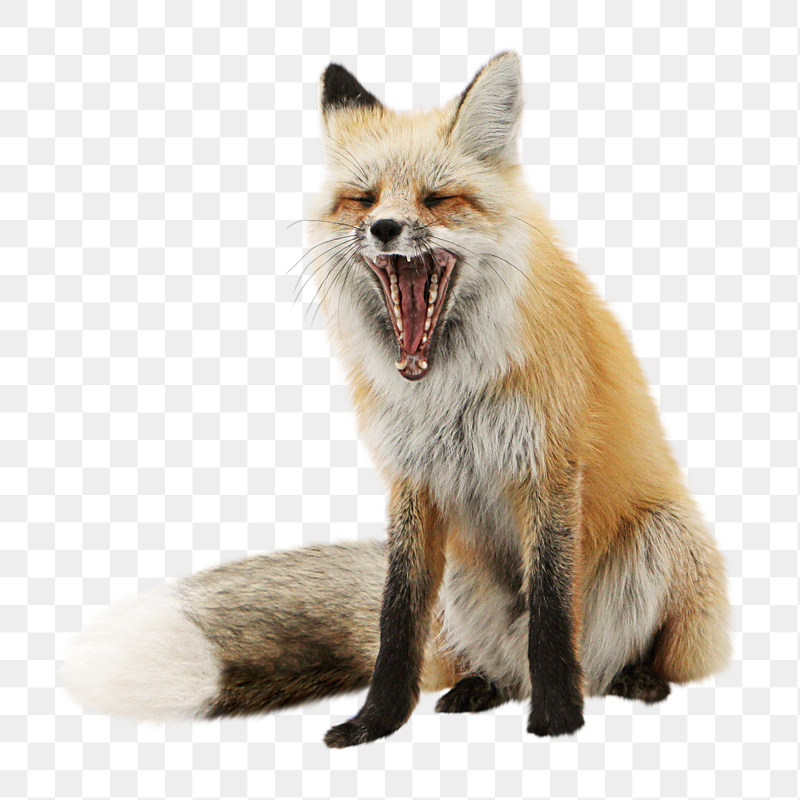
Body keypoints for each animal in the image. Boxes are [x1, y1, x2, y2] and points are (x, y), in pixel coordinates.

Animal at [63, 53, 730, 747]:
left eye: (437, 199)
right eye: (363, 199)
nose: (384, 228)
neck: (447, 390)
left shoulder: (548, 468)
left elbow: (551, 612)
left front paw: (556, 720)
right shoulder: (412, 478)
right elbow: (396, 616)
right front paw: (374, 723)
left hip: (666, 537)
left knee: (622, 659)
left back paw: (632, 679)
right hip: (463, 584)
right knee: (486, 663)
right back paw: (478, 687)